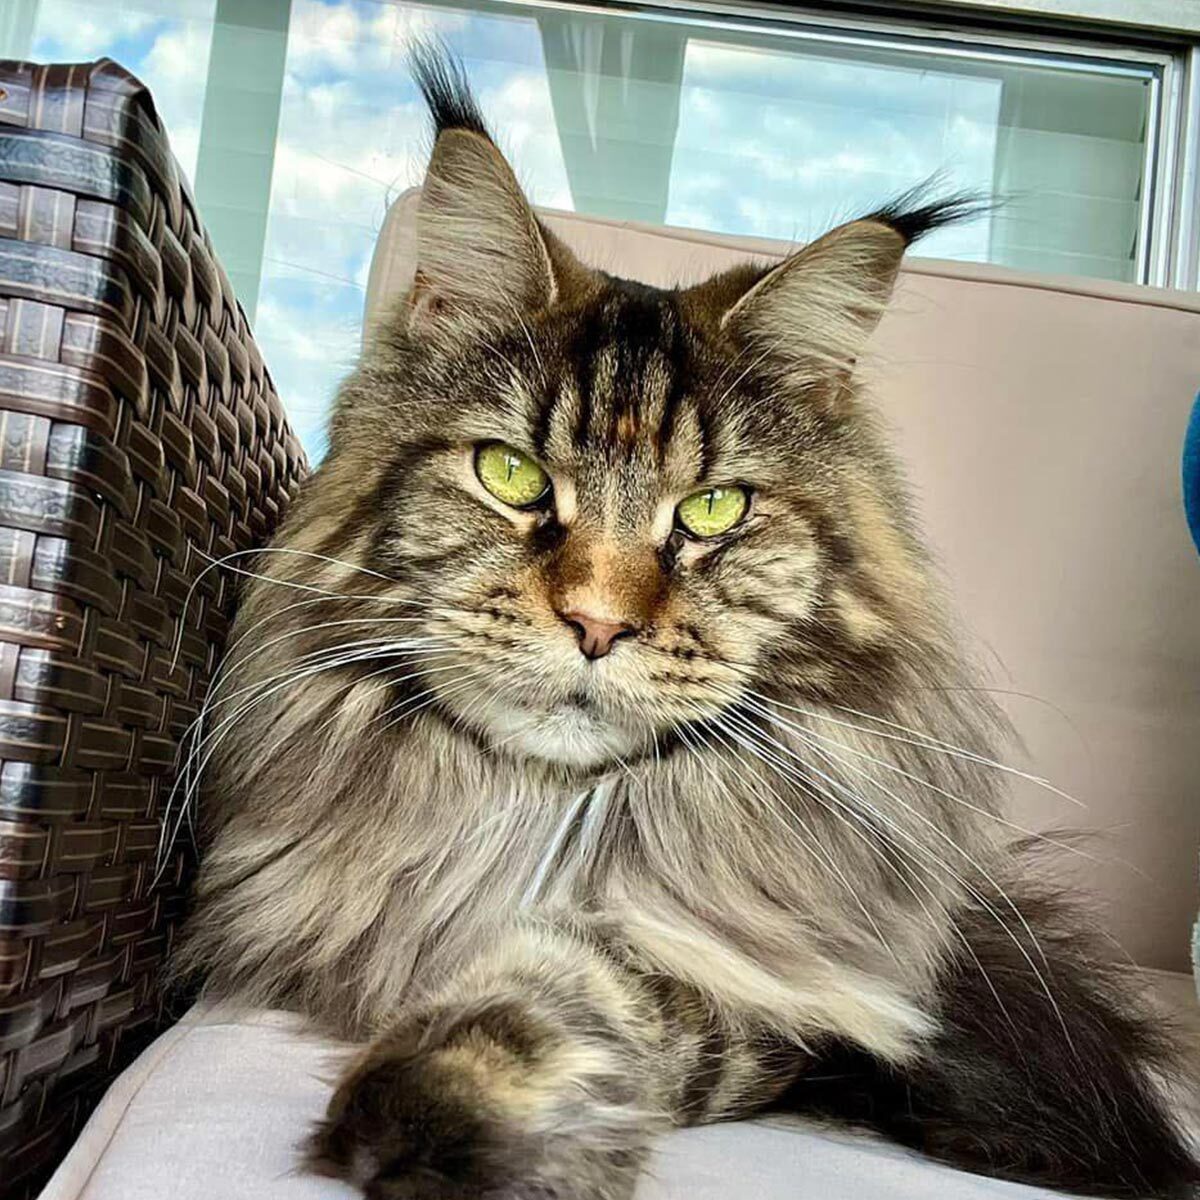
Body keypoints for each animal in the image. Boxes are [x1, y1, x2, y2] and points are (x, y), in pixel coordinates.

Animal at [175, 49, 1200, 1200]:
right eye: (511, 474)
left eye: (713, 509)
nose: (594, 623)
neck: (543, 822)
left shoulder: (783, 1012)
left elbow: (612, 993)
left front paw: (457, 1104)